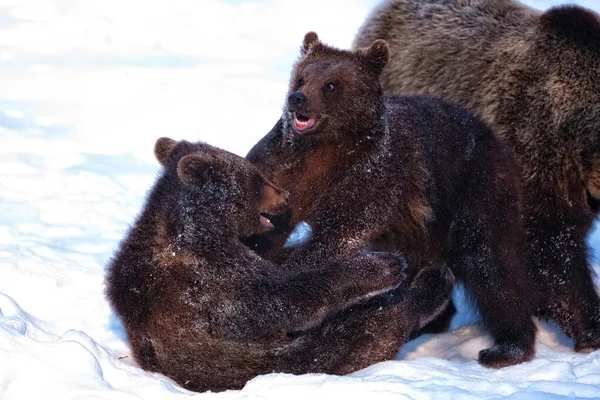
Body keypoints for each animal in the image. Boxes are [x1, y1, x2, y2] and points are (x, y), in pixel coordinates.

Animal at [246, 33, 536, 368]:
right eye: (302, 77)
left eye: (331, 85)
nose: (298, 98)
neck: (324, 150)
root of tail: (493, 135)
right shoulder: (282, 170)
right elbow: (267, 225)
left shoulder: (373, 177)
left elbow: (340, 233)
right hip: (417, 227)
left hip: (477, 185)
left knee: (491, 262)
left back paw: (507, 348)